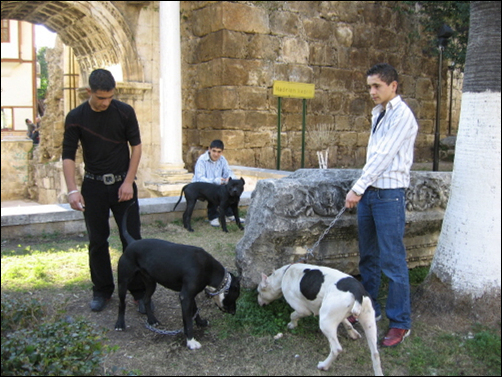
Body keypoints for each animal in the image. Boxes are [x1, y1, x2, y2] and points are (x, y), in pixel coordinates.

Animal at [114, 201, 240, 348]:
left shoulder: (190, 296)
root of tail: (132, 242)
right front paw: (191, 341)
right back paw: (120, 324)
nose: (234, 312)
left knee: (146, 299)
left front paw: (200, 323)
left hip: (151, 283)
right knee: (121, 304)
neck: (208, 268)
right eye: (235, 296)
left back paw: (152, 320)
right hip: (123, 282)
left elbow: (194, 312)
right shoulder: (185, 296)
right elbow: (188, 320)